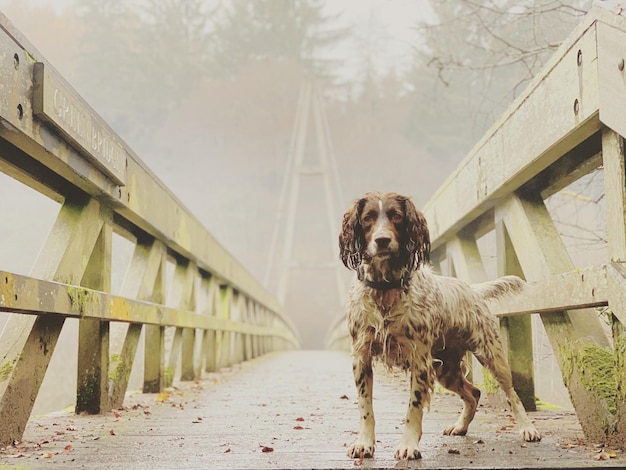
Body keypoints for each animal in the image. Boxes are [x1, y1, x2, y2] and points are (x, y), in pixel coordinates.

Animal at [338, 190, 540, 458]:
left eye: (397, 216)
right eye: (368, 217)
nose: (382, 240)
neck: (385, 289)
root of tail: (473, 289)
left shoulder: (420, 360)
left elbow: (413, 407)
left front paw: (408, 445)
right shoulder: (361, 357)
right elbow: (365, 407)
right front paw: (364, 443)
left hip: (491, 357)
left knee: (512, 395)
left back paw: (528, 428)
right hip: (447, 370)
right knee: (473, 393)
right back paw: (460, 426)